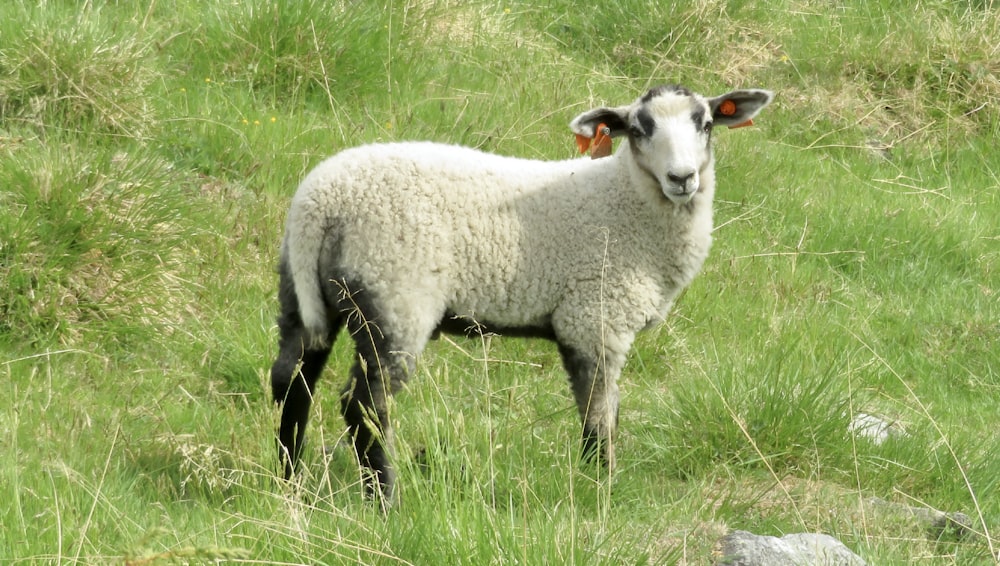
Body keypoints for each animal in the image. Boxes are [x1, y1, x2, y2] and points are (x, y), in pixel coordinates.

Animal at [272, 83, 772, 502]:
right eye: (638, 129)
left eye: (704, 124)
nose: (682, 178)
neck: (626, 201)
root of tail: (320, 202)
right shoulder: (594, 318)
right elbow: (598, 417)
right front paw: (600, 489)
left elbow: (606, 412)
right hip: (395, 298)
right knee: (364, 407)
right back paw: (384, 498)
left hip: (304, 292)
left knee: (291, 382)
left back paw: (288, 482)